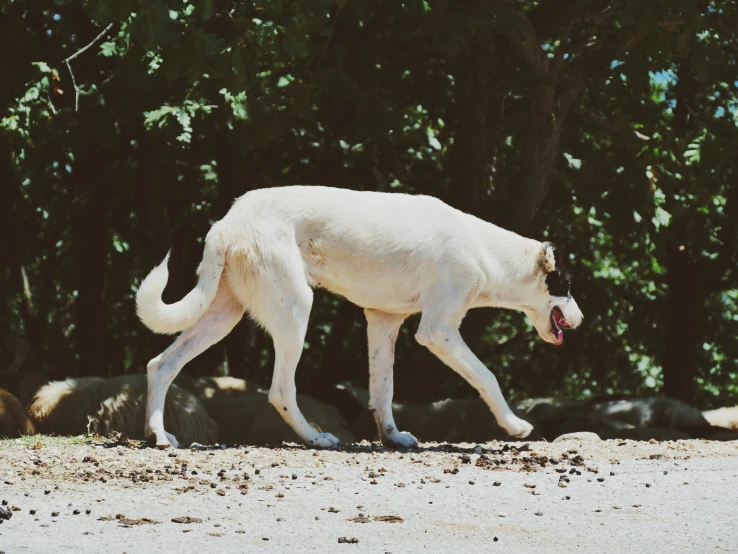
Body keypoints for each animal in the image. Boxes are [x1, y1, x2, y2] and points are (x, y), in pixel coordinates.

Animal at [134, 188, 580, 446]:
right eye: (567, 284)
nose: (580, 319)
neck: (485, 251)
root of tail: (228, 222)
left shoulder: (383, 321)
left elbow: (382, 391)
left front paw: (392, 437)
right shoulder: (438, 331)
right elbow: (487, 377)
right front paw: (515, 426)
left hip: (222, 315)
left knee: (161, 364)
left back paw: (160, 435)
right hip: (295, 312)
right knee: (280, 391)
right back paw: (316, 438)